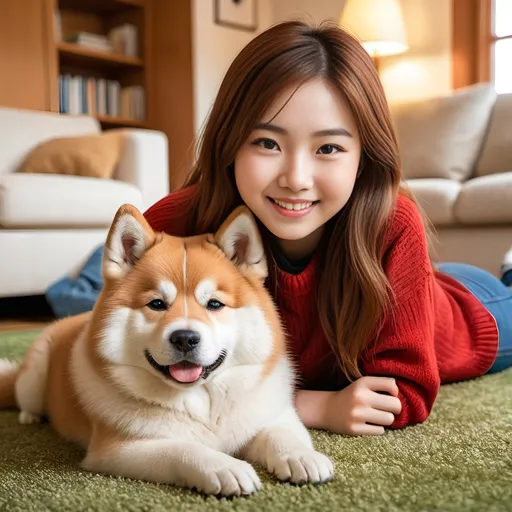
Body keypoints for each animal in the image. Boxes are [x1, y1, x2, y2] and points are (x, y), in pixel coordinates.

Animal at [0, 203, 334, 496]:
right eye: (157, 304)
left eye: (214, 304)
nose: (185, 338)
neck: (202, 405)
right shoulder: (117, 450)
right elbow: (182, 449)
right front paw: (224, 467)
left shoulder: (272, 416)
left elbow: (281, 434)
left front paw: (301, 456)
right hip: (35, 375)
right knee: (25, 396)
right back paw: (30, 417)